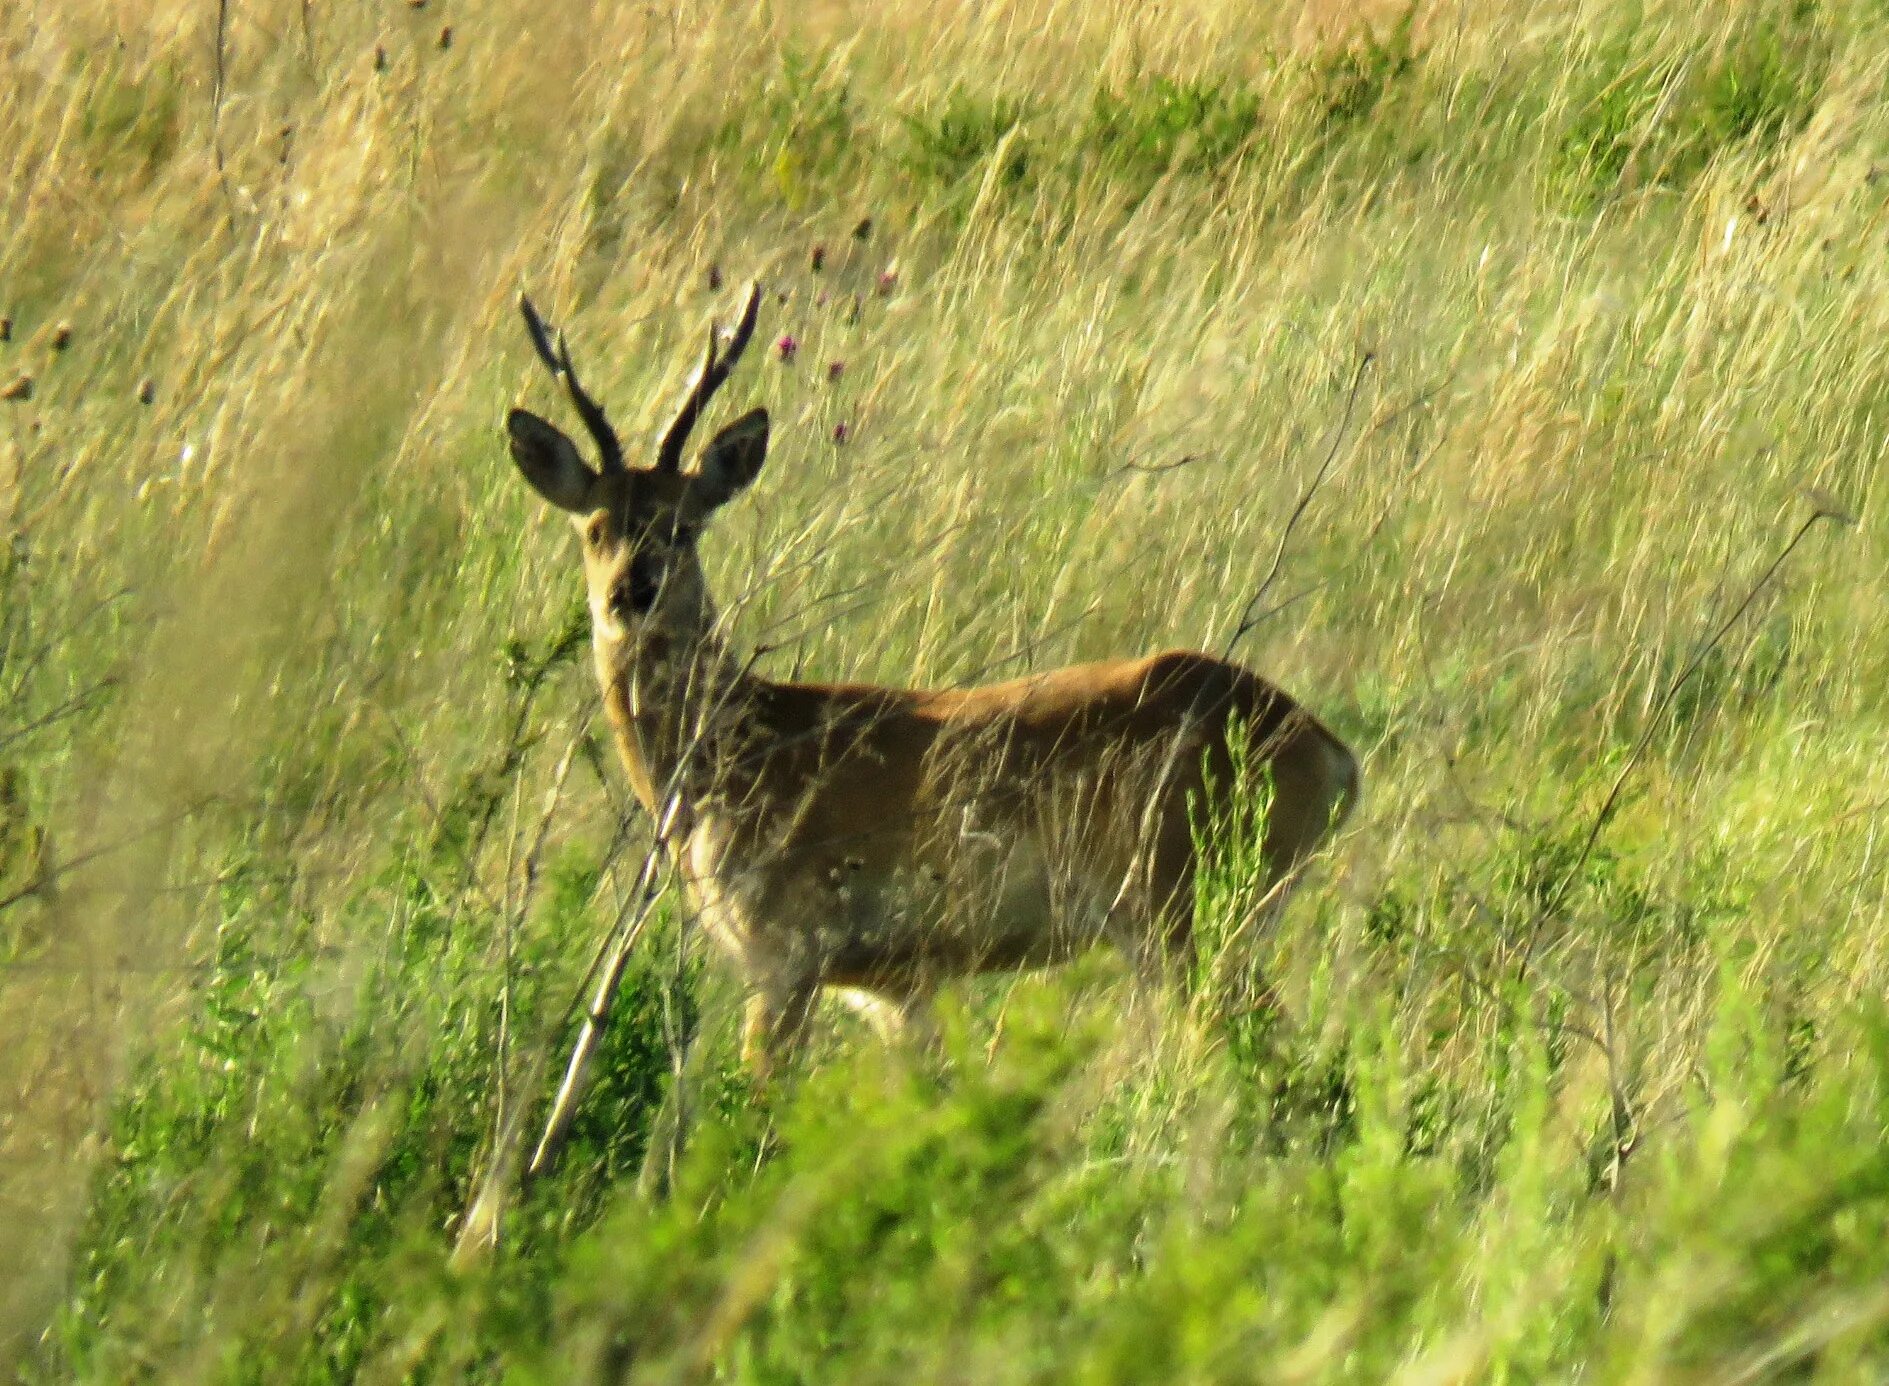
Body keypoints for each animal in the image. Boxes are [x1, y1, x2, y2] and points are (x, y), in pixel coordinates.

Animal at [502, 279, 1360, 1072]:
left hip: (1188, 907)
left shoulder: (784, 952)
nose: (630, 592)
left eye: (684, 526)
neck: (730, 754)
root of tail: (1331, 753)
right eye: (595, 527)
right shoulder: (894, 985)